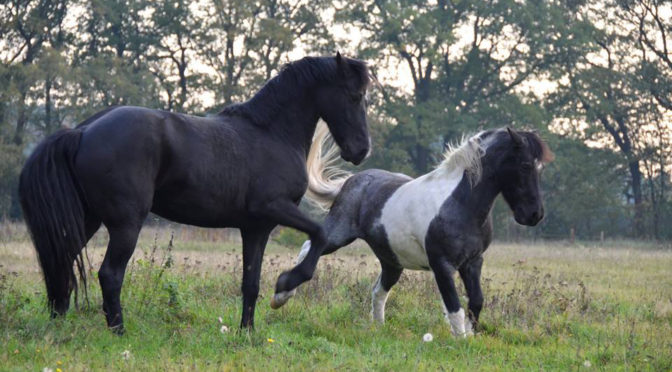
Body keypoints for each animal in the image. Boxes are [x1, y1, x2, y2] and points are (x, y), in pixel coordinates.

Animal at [19, 53, 372, 334]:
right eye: (355, 96)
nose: (361, 150)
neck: (272, 133)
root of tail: (82, 131)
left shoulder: (255, 228)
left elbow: (251, 283)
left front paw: (247, 332)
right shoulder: (274, 208)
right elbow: (319, 234)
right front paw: (284, 288)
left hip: (88, 219)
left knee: (62, 261)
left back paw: (58, 320)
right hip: (126, 224)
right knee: (110, 274)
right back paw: (118, 331)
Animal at [272, 125, 552, 338]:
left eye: (540, 169)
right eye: (525, 165)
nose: (535, 215)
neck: (460, 204)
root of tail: (353, 181)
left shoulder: (473, 262)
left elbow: (476, 301)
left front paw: (470, 336)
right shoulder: (442, 265)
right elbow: (454, 305)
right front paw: (461, 340)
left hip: (391, 261)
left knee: (378, 291)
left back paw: (379, 328)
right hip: (338, 235)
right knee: (311, 246)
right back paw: (282, 295)